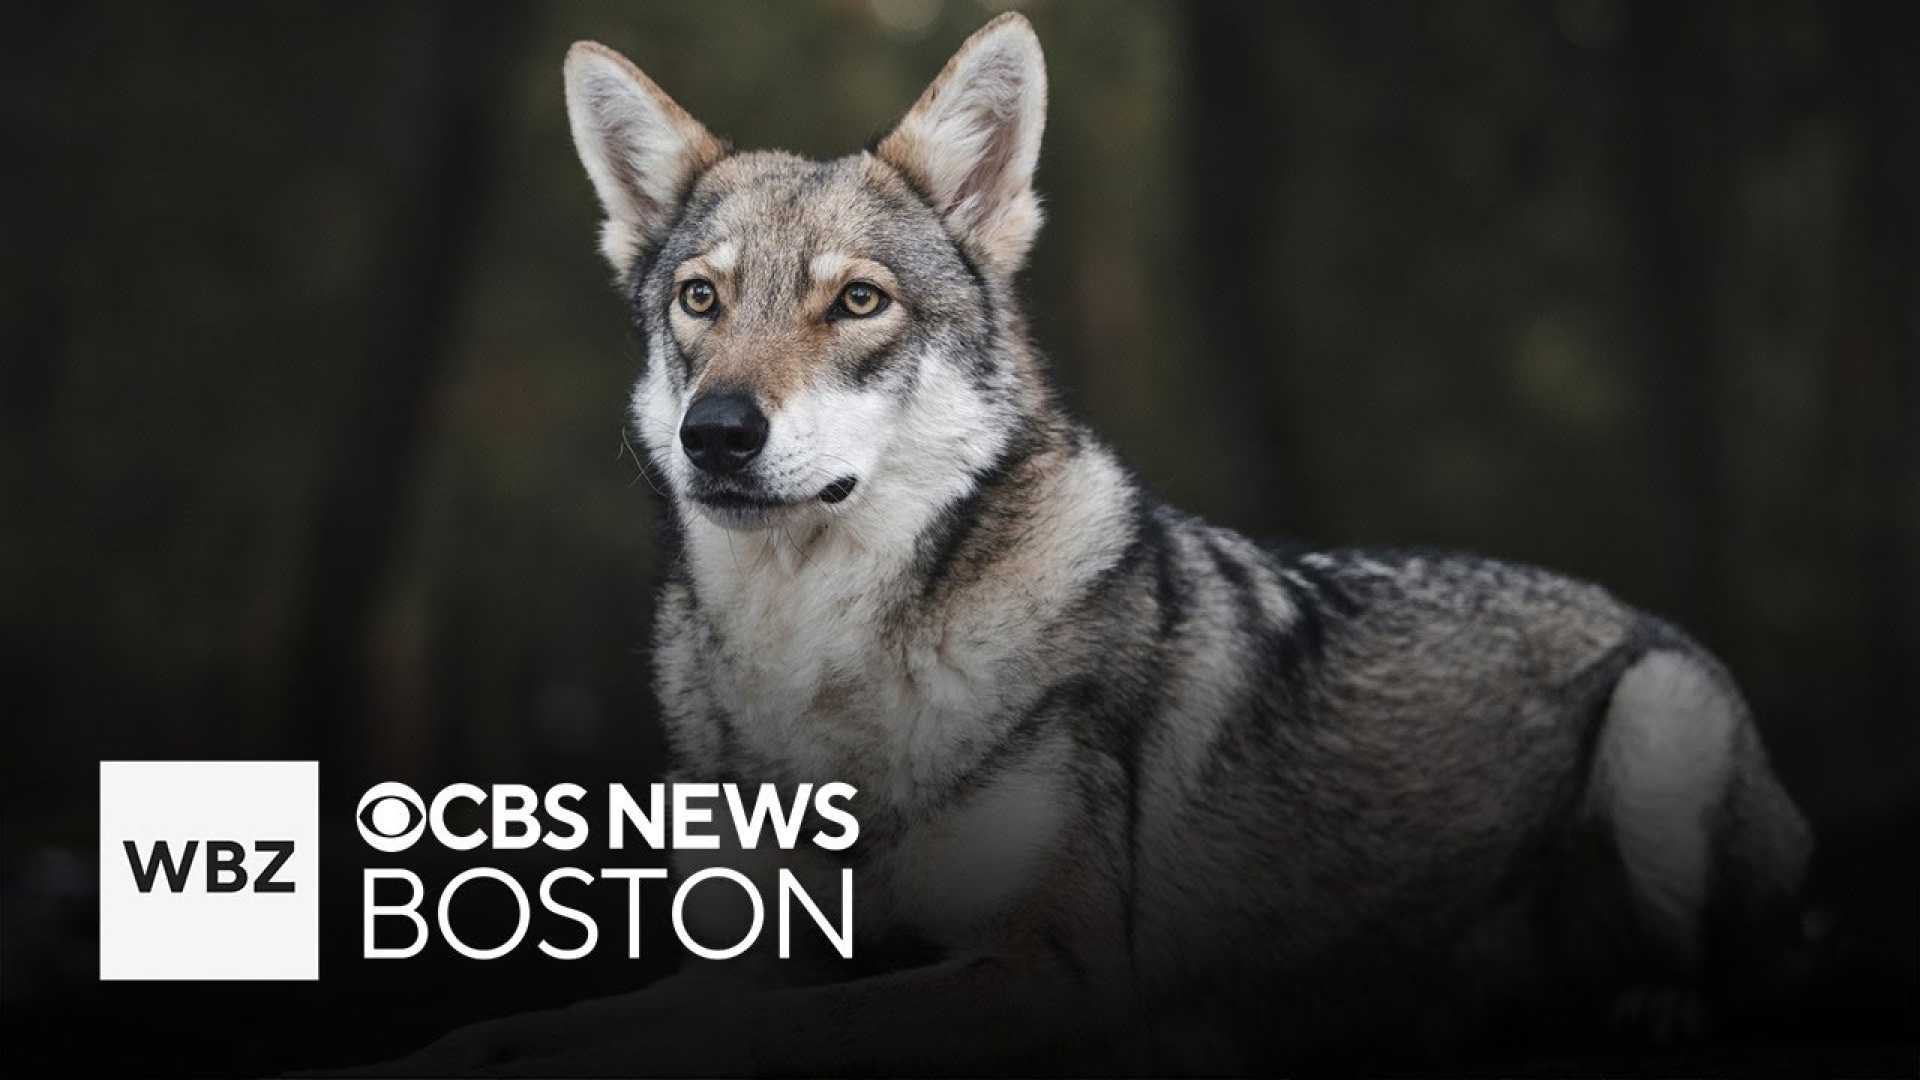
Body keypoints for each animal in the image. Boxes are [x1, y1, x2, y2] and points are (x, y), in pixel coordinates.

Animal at [357, 13, 1813, 1075]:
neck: (823, 670)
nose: (715, 432)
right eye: (701, 301)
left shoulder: (1047, 964)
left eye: (859, 303)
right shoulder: (759, 952)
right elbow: (526, 1027)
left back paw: (1655, 1006)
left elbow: (787, 1026)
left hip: (1662, 716)